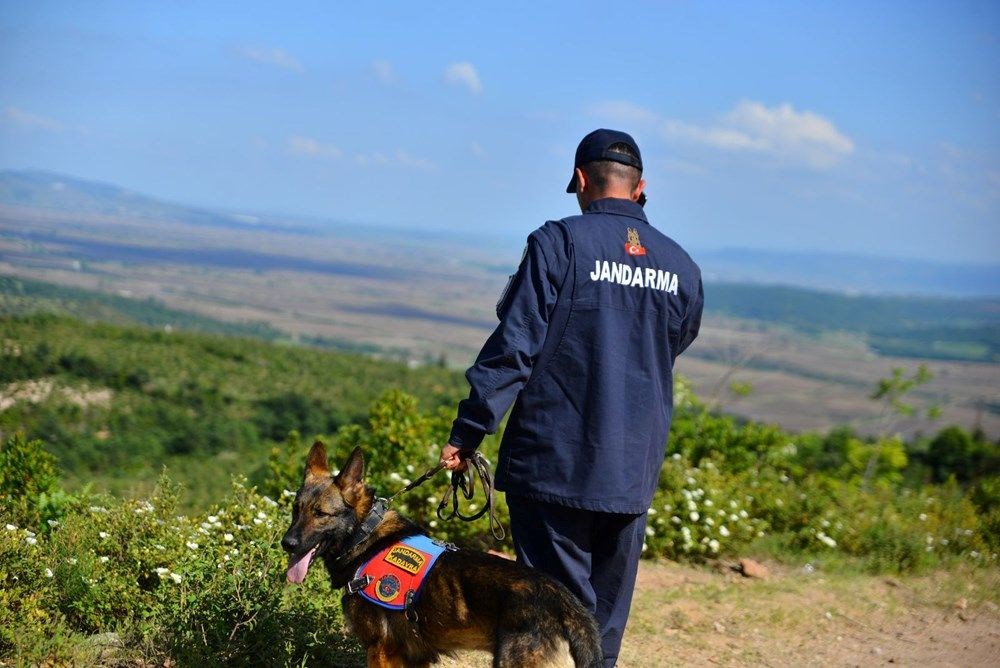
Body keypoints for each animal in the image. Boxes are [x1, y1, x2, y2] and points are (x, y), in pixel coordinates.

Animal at [280, 444, 600, 668]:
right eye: (296, 509)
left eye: (320, 514)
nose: (287, 543)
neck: (364, 535)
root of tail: (569, 606)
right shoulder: (415, 656)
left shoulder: (380, 651)